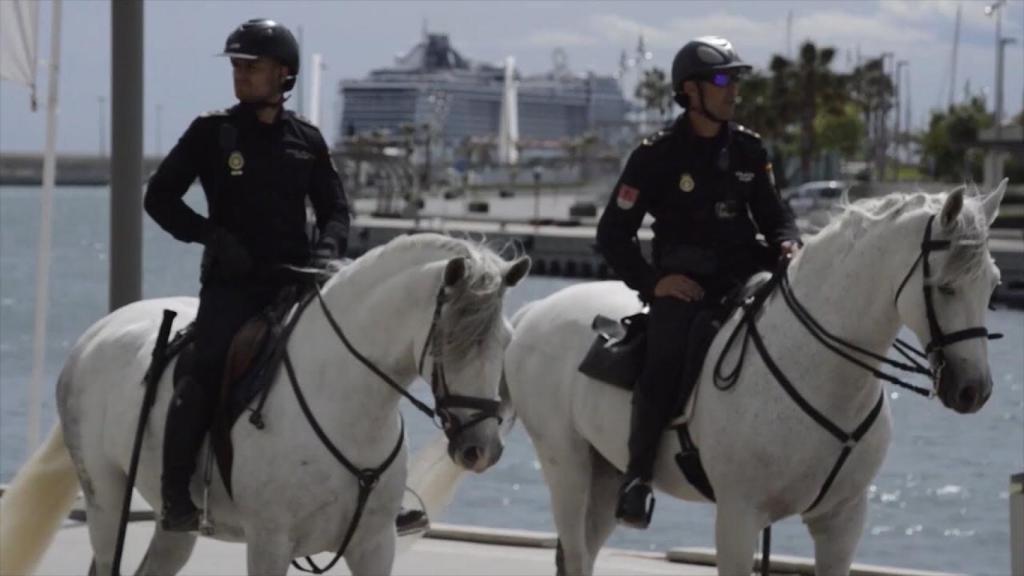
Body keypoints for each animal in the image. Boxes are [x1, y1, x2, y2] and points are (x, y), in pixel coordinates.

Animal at [0, 233, 528, 573]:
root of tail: (97, 333)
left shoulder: (374, 546)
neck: (347, 403)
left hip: (173, 527)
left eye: (506, 340)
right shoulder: (270, 543)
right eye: (451, 344)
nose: (481, 449)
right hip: (107, 501)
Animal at [499, 183, 1003, 573]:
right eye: (945, 287)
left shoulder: (842, 520)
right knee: (576, 553)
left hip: (605, 472)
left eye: (993, 285)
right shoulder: (739, 516)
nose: (973, 390)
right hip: (567, 465)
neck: (823, 371)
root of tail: (535, 312)